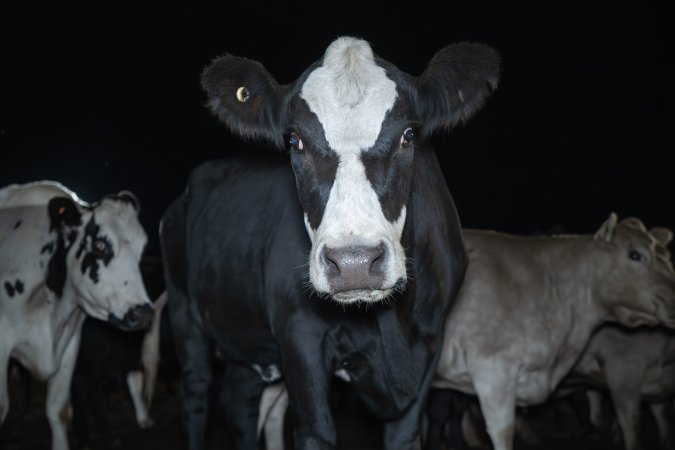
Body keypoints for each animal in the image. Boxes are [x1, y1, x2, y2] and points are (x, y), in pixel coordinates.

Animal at [161, 34, 502, 450]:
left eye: (408, 135)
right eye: (295, 140)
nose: (355, 263)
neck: (389, 325)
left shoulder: (431, 341)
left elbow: (405, 435)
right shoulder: (299, 335)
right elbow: (315, 431)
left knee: (240, 401)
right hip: (183, 311)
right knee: (196, 395)